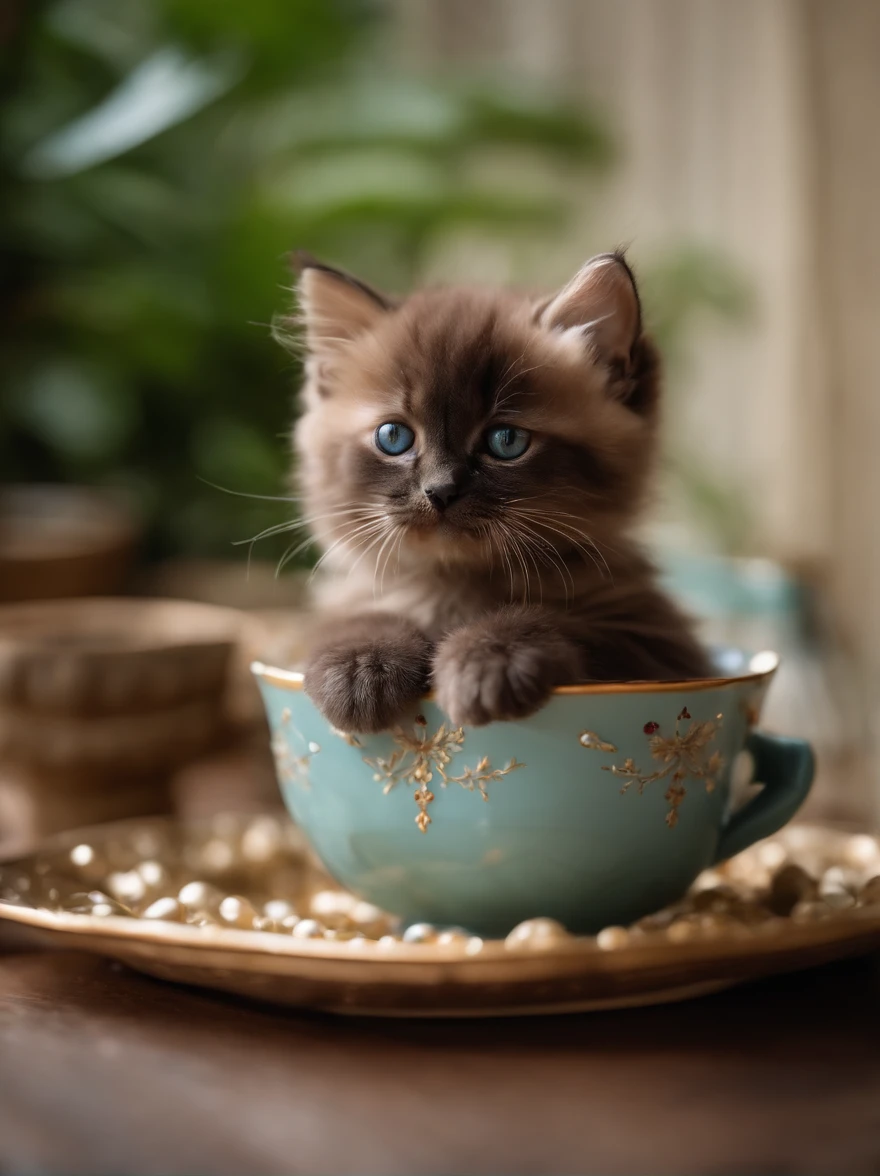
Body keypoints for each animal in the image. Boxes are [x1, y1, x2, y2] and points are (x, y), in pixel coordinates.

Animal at [285, 249, 710, 729]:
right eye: (393, 437)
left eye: (506, 441)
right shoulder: (330, 613)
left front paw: (490, 657)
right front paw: (361, 665)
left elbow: (565, 622)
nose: (440, 490)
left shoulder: (658, 640)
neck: (455, 593)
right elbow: (352, 619)